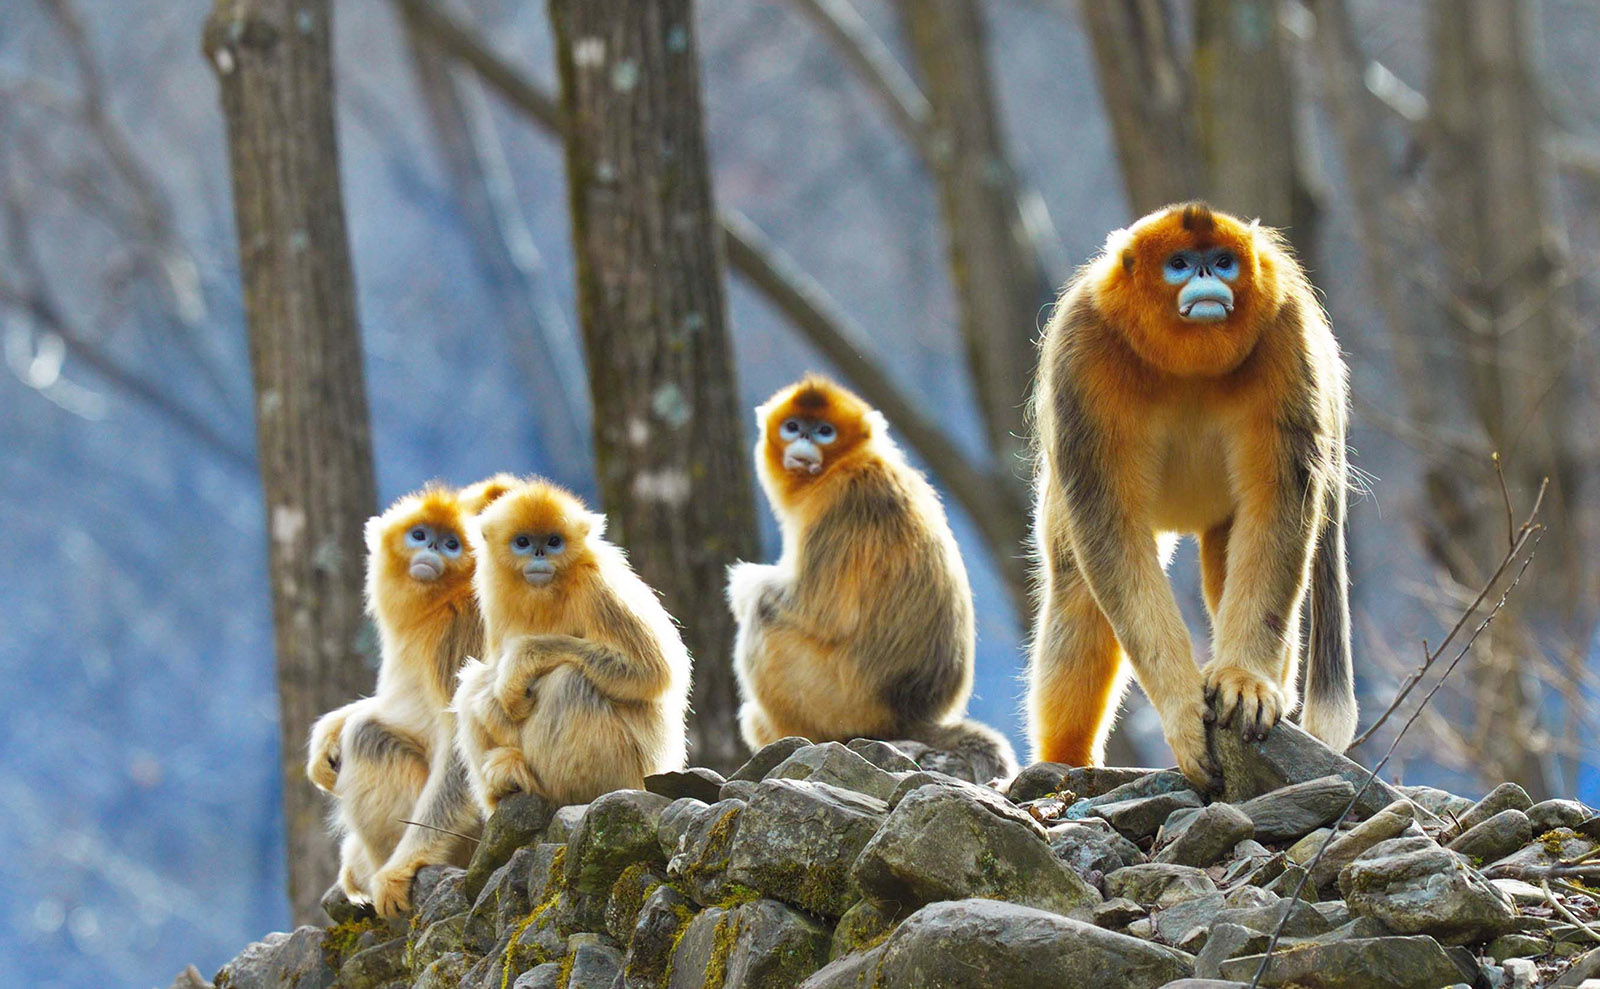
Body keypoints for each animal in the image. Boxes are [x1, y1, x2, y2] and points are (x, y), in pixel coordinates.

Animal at [453, 479, 691, 812]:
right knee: (471, 685)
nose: (539, 553)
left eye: (554, 541)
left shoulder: (598, 585)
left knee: (567, 680)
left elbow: (653, 672)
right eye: (523, 542)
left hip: (626, 771)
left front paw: (515, 669)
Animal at [727, 376, 1018, 783]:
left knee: (765, 616)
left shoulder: (844, 500)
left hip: (839, 703)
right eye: (793, 427)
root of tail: (908, 718)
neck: (843, 464)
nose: (804, 440)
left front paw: (742, 586)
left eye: (825, 431)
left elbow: (818, 610)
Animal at [1027, 201, 1357, 791]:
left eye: (1223, 261)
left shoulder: (1286, 332)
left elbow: (1278, 503)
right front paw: (1181, 709)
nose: (1206, 276)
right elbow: (1108, 531)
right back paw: (1064, 759)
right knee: (1078, 589)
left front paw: (1244, 681)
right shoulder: (1082, 345)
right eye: (1180, 264)